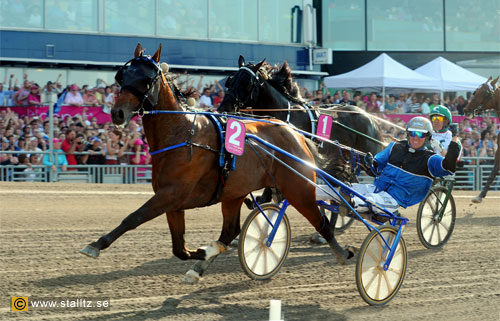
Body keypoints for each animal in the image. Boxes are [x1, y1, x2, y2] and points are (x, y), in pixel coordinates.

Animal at [79, 43, 356, 282]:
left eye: (147, 80)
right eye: (122, 76)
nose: (117, 113)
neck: (183, 133)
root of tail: (295, 133)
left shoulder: (170, 194)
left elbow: (133, 218)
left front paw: (95, 245)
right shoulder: (172, 201)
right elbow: (179, 248)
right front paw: (202, 254)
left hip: (298, 188)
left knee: (321, 219)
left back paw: (342, 252)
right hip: (234, 193)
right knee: (230, 231)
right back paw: (204, 263)